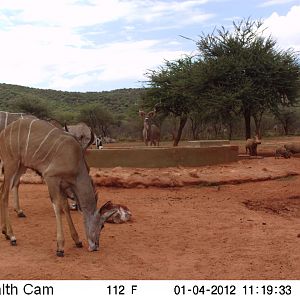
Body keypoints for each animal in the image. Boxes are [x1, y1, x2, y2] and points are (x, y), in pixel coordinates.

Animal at [0, 118, 116, 256]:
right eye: (102, 225)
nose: (95, 246)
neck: (75, 159)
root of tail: (3, 132)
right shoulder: (51, 178)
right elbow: (57, 206)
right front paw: (60, 247)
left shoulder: (63, 185)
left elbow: (65, 206)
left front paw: (77, 240)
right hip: (11, 164)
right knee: (4, 194)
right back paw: (12, 236)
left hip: (21, 166)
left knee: (4, 189)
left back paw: (5, 232)